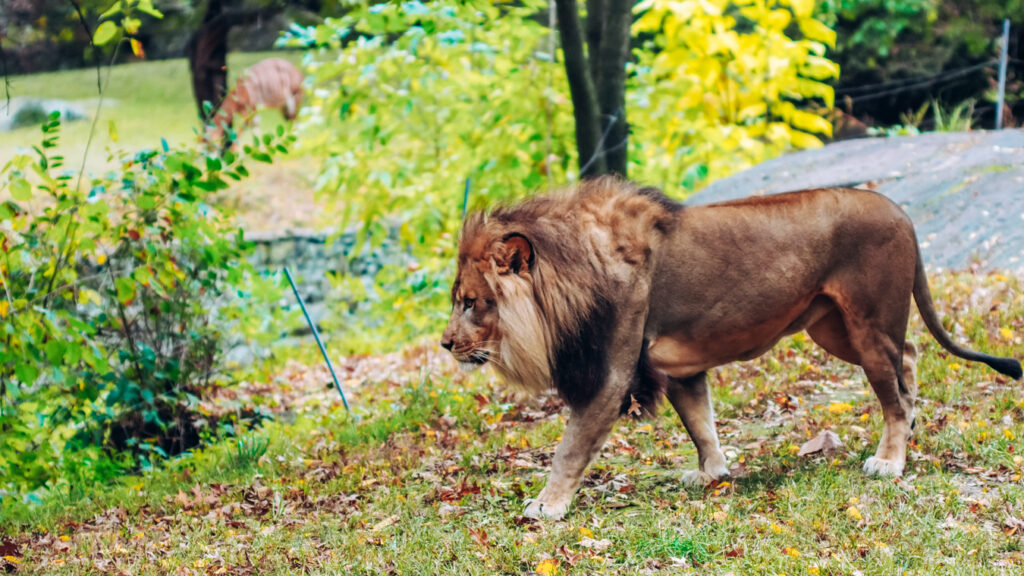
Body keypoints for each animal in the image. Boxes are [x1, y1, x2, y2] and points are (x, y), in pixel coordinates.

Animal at [441, 177, 1022, 521]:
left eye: (472, 303)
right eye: (457, 301)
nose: (445, 344)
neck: (573, 270)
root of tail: (900, 211)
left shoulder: (611, 374)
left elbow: (570, 448)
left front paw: (546, 505)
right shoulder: (676, 366)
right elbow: (701, 423)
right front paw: (712, 474)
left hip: (868, 325)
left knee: (894, 393)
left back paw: (890, 461)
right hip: (836, 330)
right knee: (911, 358)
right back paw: (914, 424)